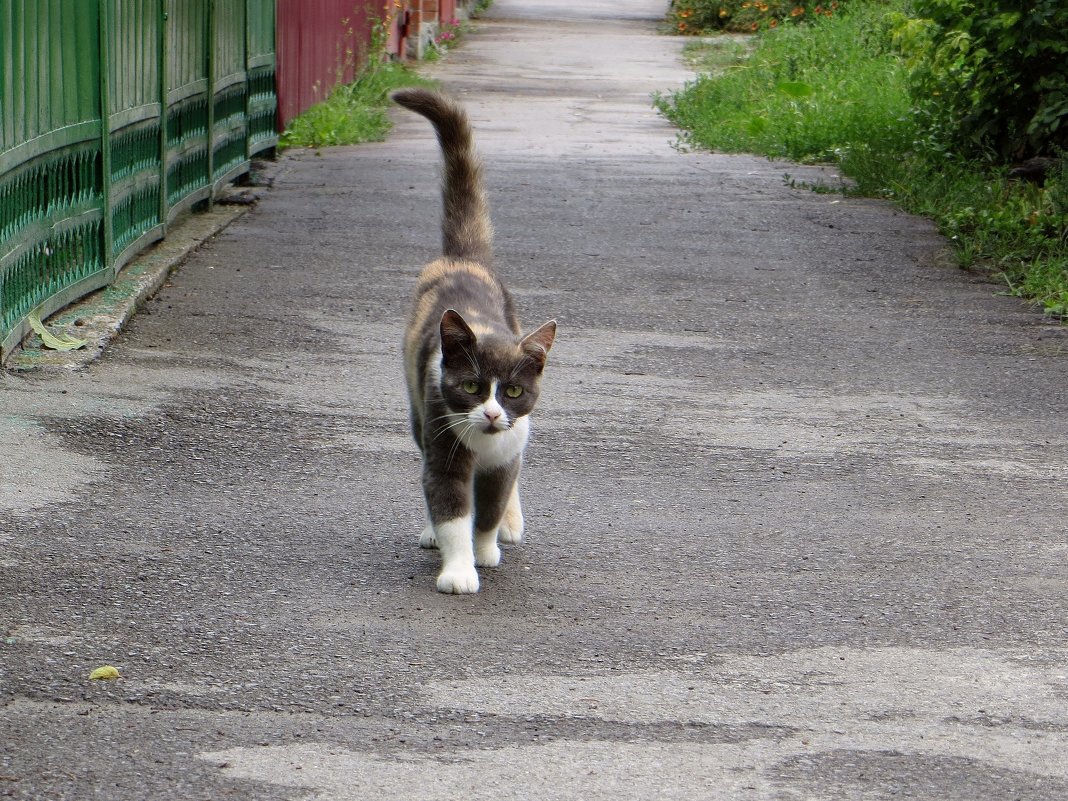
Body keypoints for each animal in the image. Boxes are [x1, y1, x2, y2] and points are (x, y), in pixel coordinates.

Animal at [393, 89, 559, 598]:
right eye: (470, 387)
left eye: (513, 391)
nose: (490, 414)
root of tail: (462, 257)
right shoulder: (444, 438)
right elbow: (450, 507)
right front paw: (458, 570)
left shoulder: (504, 458)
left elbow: (489, 505)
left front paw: (486, 549)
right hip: (418, 409)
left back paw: (511, 523)